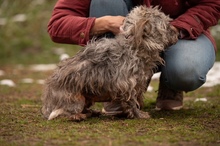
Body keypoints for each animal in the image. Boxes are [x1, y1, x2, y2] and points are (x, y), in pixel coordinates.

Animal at [41, 6, 179, 121]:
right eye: (167, 25)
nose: (178, 32)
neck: (135, 48)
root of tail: (48, 105)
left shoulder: (138, 84)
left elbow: (138, 98)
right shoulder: (127, 85)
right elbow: (132, 102)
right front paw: (139, 114)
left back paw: (92, 112)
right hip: (76, 100)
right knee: (62, 114)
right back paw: (78, 116)